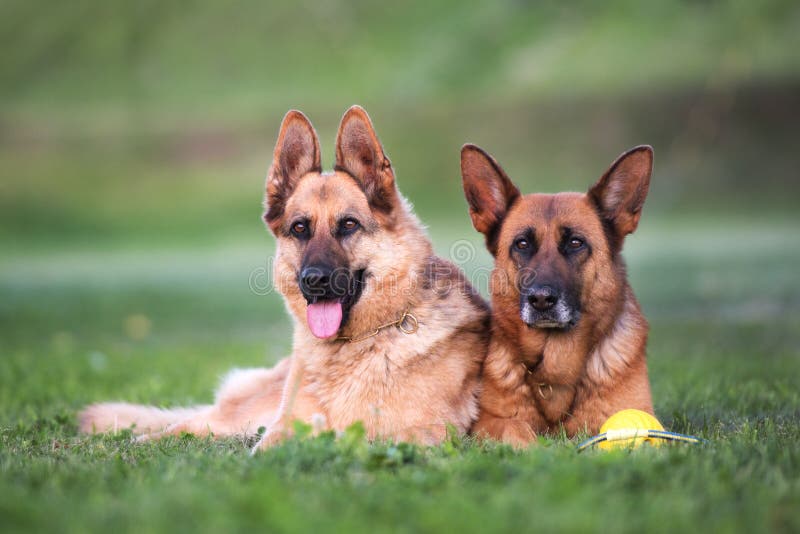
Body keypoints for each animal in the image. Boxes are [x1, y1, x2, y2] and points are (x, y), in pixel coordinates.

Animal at [83, 105, 494, 452]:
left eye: (349, 225)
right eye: (299, 228)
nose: (313, 280)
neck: (357, 345)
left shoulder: (425, 433)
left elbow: (358, 438)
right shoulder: (282, 429)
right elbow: (270, 447)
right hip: (241, 416)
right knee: (190, 424)